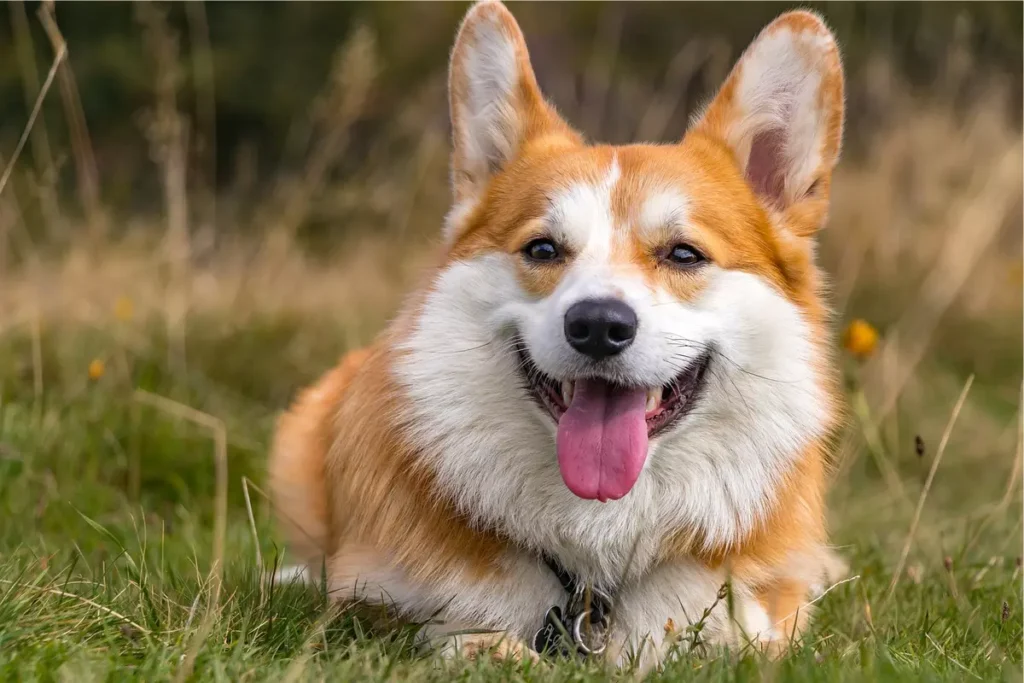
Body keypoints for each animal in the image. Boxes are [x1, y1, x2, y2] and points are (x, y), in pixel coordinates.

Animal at [270, 1, 847, 667]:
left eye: (683, 254)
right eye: (543, 249)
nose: (598, 325)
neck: (595, 561)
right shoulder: (373, 600)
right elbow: (459, 633)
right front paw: (488, 646)